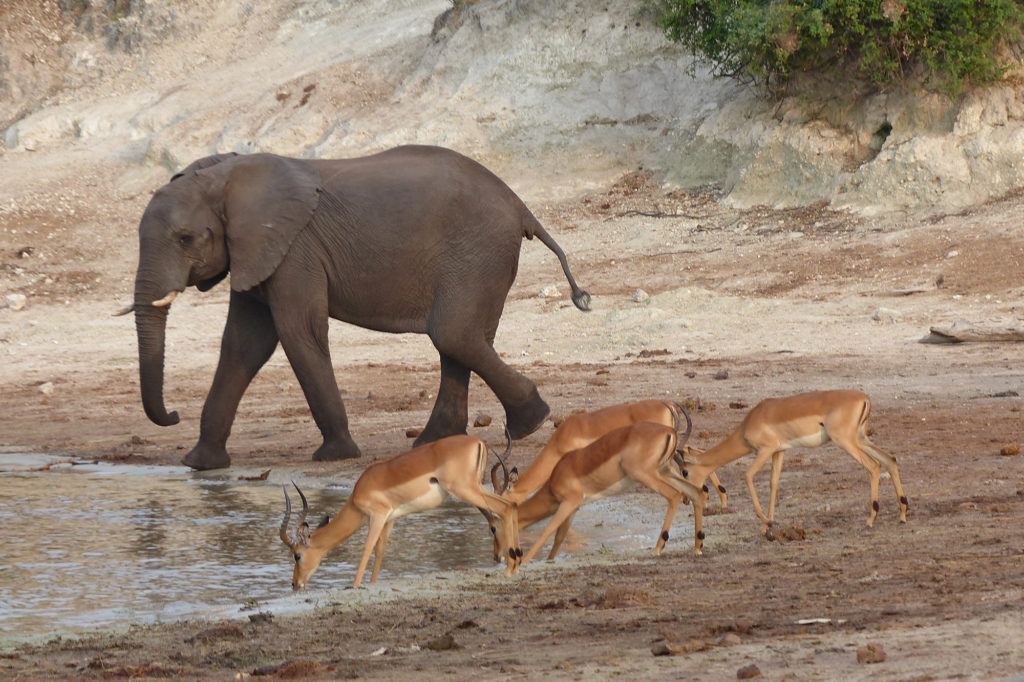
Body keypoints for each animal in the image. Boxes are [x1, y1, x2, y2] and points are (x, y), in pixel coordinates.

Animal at [118, 145, 591, 470]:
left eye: (185, 239)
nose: (173, 415)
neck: (225, 177)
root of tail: (522, 207)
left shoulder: (295, 250)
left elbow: (298, 332)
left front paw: (335, 455)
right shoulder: (254, 252)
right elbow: (242, 345)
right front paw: (200, 464)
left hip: (478, 253)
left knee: (453, 334)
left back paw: (530, 422)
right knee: (459, 340)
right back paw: (436, 442)